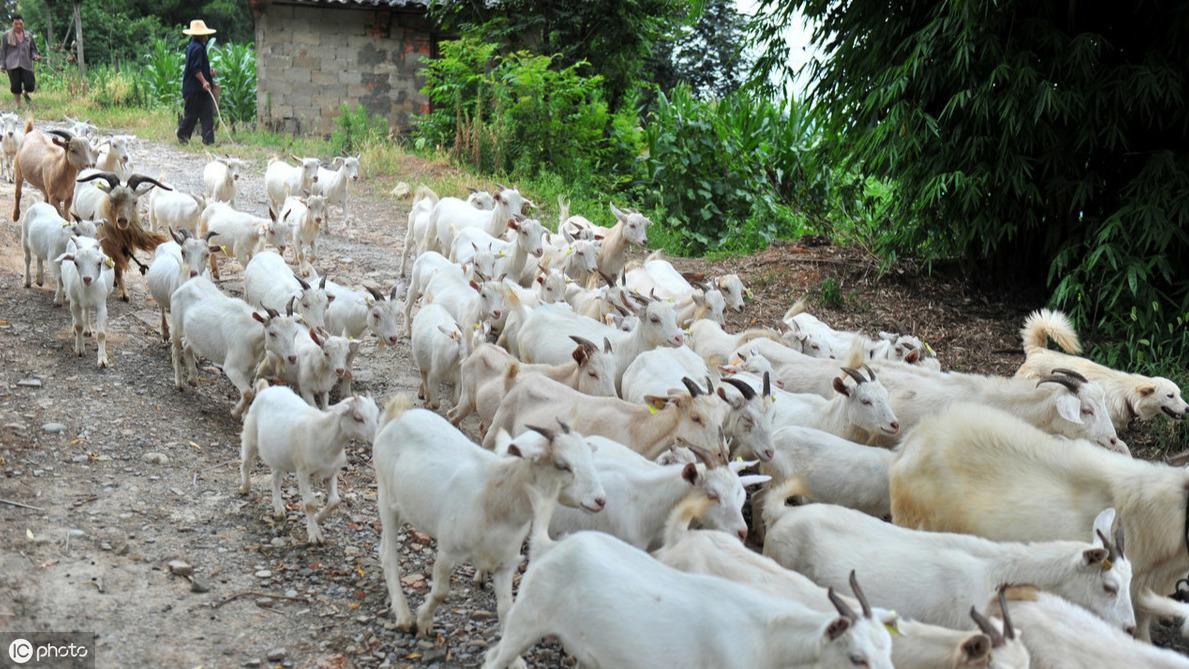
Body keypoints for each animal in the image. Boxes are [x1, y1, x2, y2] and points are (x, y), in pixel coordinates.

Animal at [76, 171, 170, 301]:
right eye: (111, 200)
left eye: (135, 202)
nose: (122, 221)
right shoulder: (109, 247)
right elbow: (117, 267)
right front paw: (123, 293)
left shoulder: (127, 248)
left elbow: (120, 266)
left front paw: (121, 287)